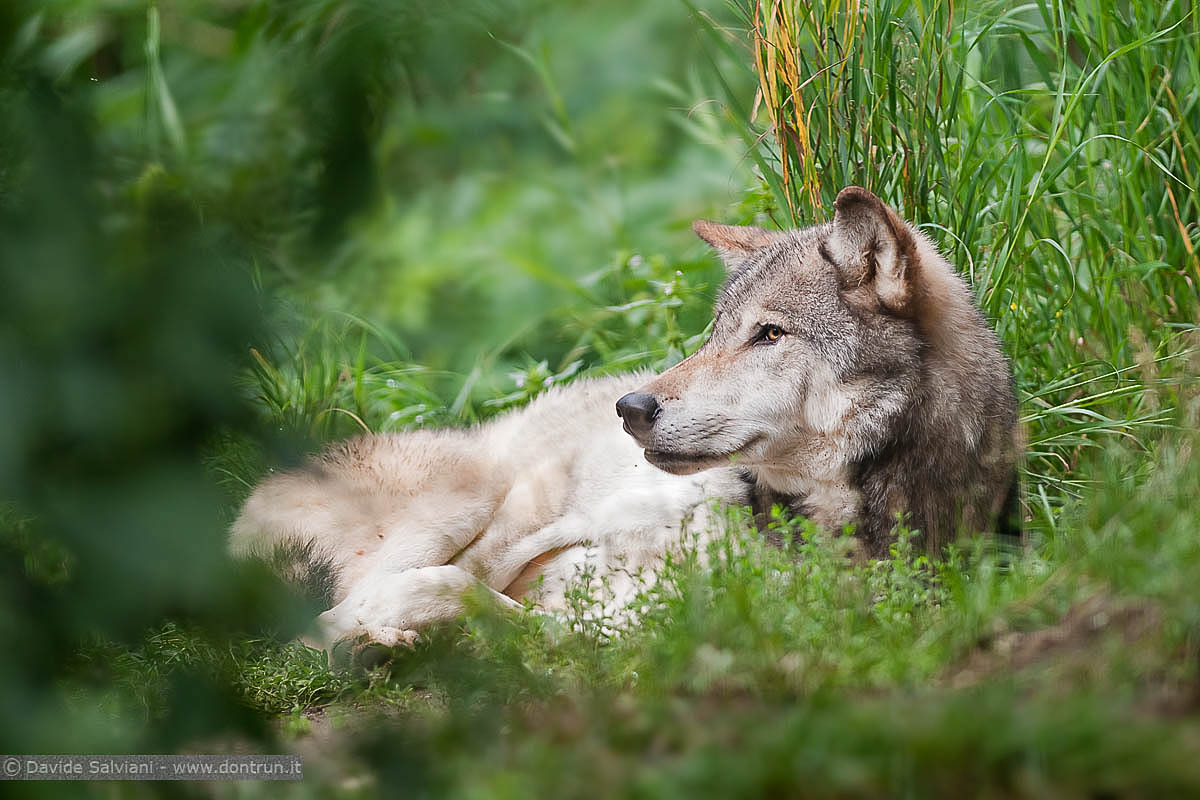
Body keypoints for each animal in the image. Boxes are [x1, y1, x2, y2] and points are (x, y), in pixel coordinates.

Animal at [230, 186, 1021, 647]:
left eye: (768, 334)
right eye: (714, 333)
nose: (631, 408)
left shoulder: (633, 633)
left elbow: (482, 603)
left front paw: (375, 627)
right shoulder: (551, 525)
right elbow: (462, 581)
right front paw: (359, 626)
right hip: (469, 495)